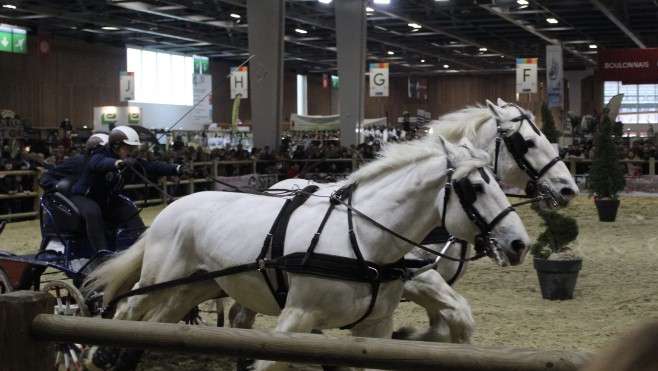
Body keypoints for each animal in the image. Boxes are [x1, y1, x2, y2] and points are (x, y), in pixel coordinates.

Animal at [82, 137, 532, 371]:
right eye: (475, 187)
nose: (518, 243)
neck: (361, 241)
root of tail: (171, 207)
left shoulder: (376, 328)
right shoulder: (296, 318)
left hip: (196, 288)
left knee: (160, 324)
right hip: (159, 279)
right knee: (125, 313)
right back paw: (97, 354)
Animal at [227, 98, 580, 346]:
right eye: (527, 142)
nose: (568, 188)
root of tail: (277, 186)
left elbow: (443, 328)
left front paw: (406, 336)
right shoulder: (418, 279)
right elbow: (458, 318)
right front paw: (405, 335)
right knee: (241, 316)